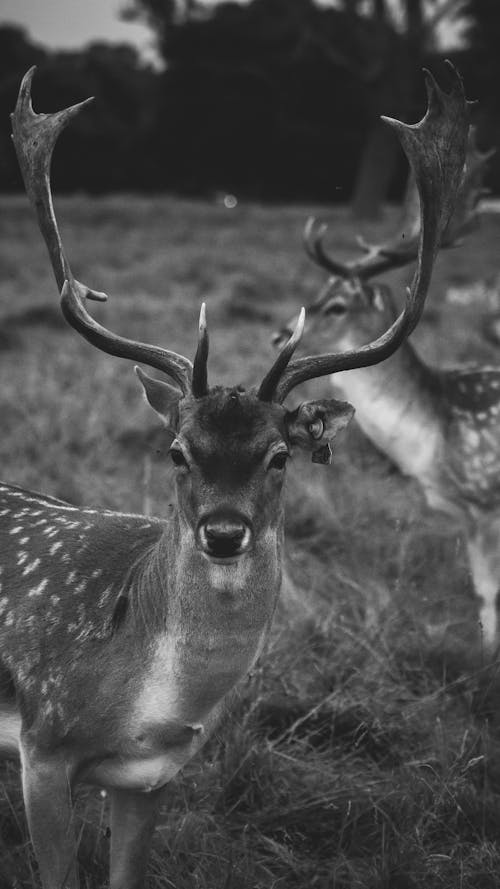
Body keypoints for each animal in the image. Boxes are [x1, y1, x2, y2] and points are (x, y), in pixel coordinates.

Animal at [1, 64, 466, 888]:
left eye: (279, 454)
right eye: (177, 451)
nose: (222, 531)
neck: (144, 706)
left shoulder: (151, 776)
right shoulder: (41, 743)